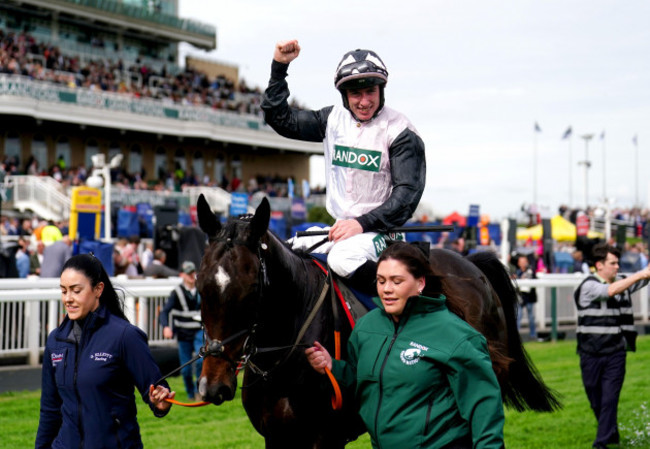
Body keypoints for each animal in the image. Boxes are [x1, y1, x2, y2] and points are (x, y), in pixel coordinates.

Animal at [195, 194, 560, 446]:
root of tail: (472, 261)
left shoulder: (325, 437)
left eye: (252, 289)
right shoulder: (276, 436)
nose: (213, 385)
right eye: (200, 285)